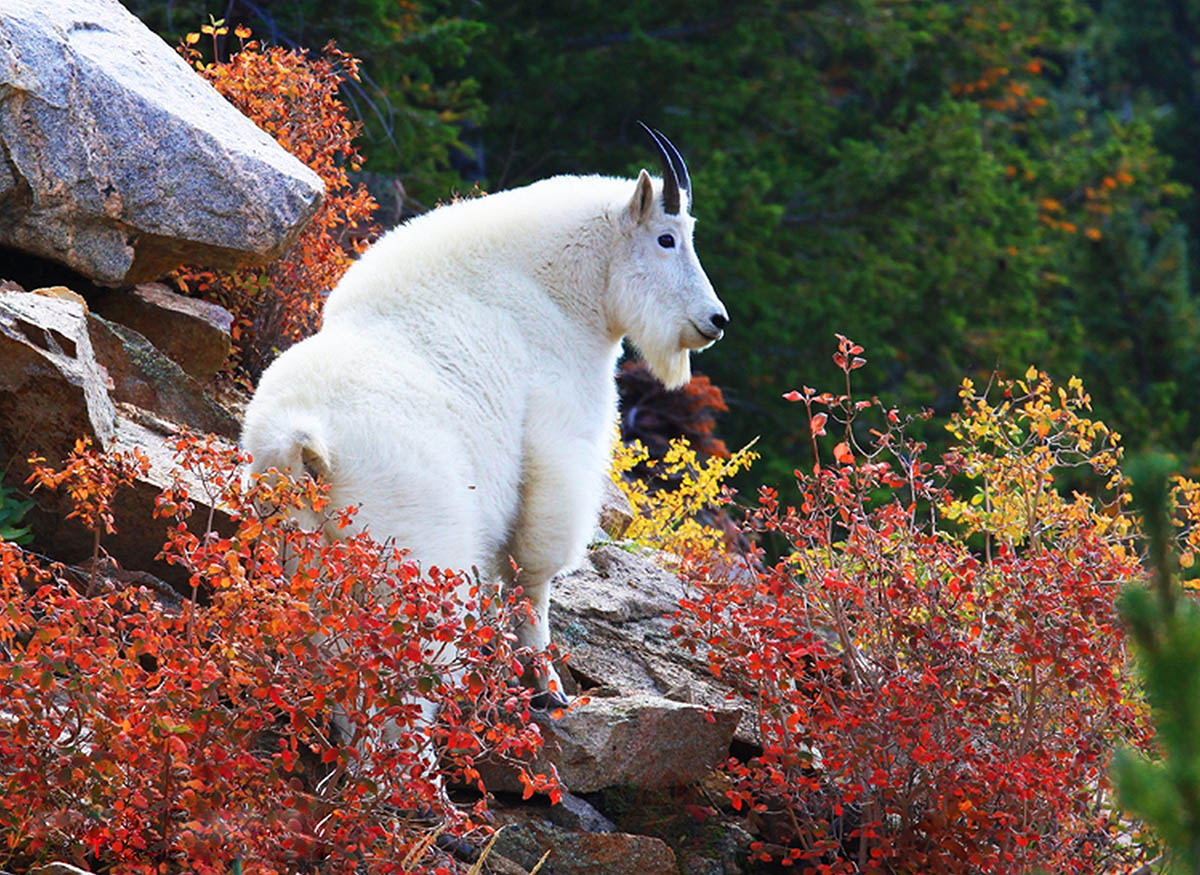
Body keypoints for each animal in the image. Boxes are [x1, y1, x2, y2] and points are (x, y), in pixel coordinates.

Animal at [236, 124, 720, 715]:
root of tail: (300, 443)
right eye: (667, 239)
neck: (555, 290)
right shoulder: (556, 440)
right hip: (411, 559)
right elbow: (533, 576)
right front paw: (547, 685)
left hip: (299, 558)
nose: (716, 320)